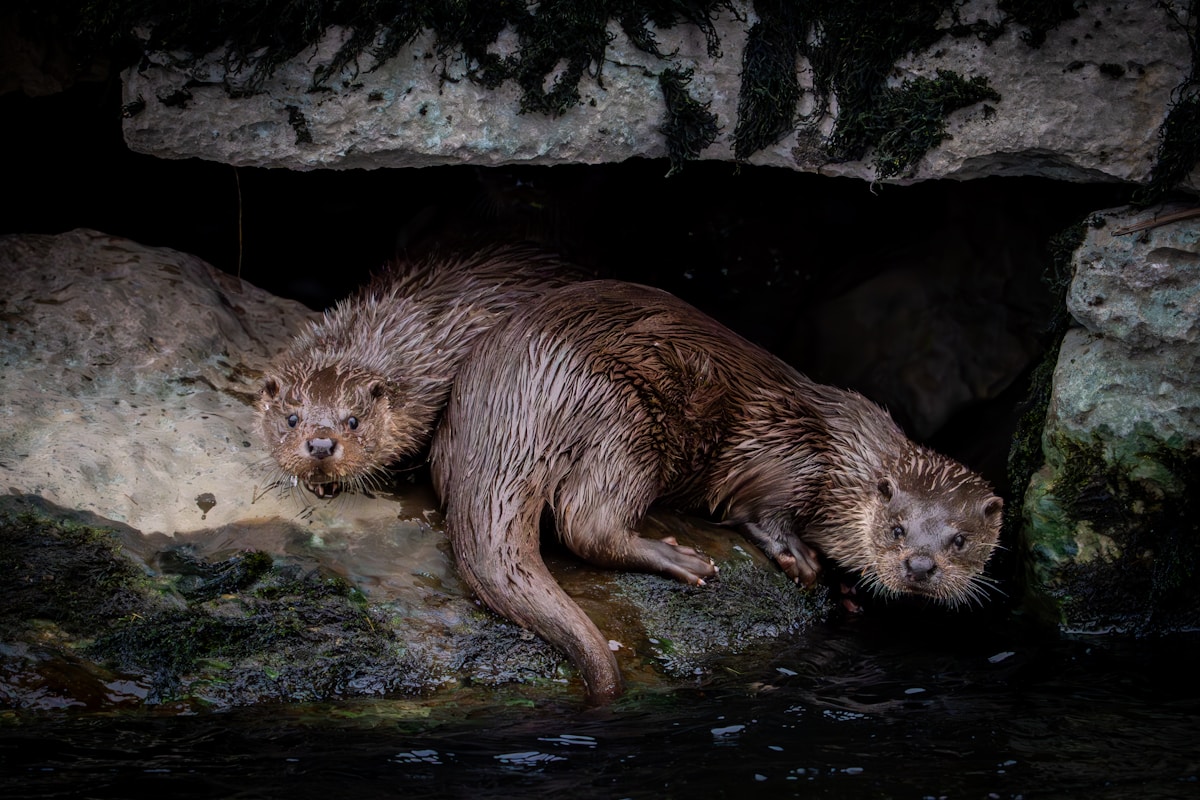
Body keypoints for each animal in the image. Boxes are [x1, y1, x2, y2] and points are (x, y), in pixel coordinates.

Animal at [430, 280, 1002, 704]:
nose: (920, 566)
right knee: (585, 522)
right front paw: (800, 557)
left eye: (960, 540)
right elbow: (759, 511)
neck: (843, 462)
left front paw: (846, 590)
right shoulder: (787, 459)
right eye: (897, 528)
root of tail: (514, 395)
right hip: (626, 418)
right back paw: (681, 560)